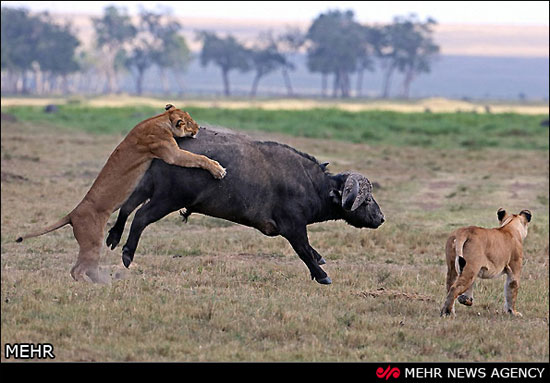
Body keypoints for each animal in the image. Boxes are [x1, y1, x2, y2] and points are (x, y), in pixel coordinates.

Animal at [106, 128, 384, 284]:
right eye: (368, 199)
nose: (381, 218)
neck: (311, 185)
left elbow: (311, 251)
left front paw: (320, 260)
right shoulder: (293, 227)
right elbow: (304, 250)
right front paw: (322, 275)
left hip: (146, 185)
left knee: (126, 207)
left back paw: (113, 236)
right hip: (167, 198)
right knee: (140, 216)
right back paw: (127, 254)